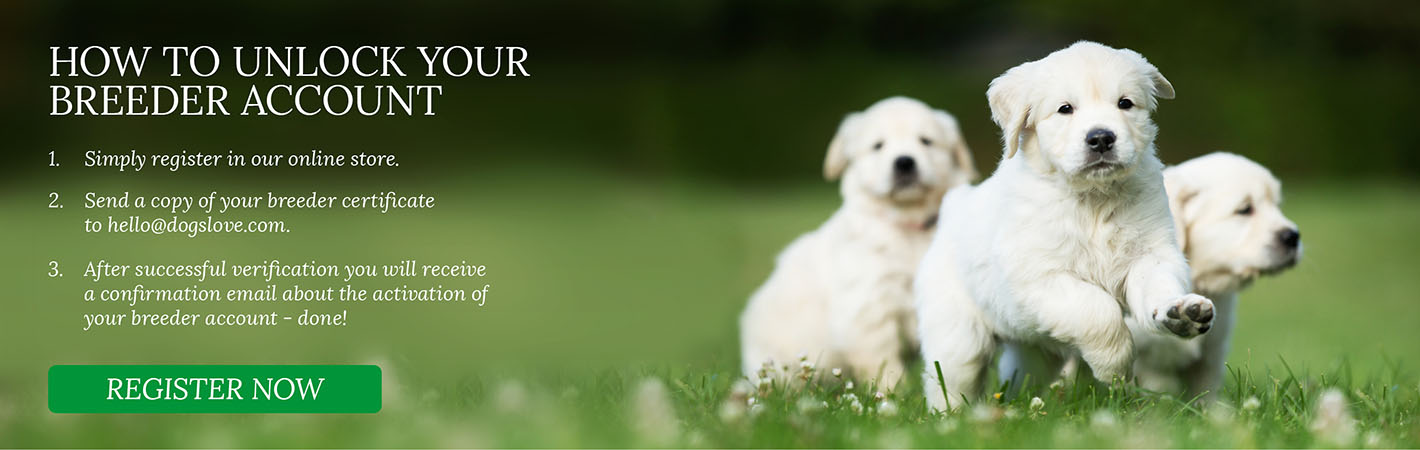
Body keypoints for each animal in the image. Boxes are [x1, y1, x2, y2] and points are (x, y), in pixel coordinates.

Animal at [744, 95, 976, 386]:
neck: (907, 224)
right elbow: (883, 363)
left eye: (926, 141)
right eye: (878, 146)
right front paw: (892, 392)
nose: (904, 162)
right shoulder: (868, 308)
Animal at [914, 42, 1215, 408]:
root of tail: (953, 209)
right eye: (1065, 109)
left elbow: (1156, 284)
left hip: (1034, 349)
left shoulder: (1151, 252)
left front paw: (1180, 314)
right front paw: (1114, 367)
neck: (1093, 200)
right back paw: (953, 414)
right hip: (958, 333)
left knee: (1021, 376)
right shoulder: (1038, 278)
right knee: (954, 379)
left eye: (1125, 103)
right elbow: (1097, 310)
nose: (1101, 138)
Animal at [1005, 152, 1300, 400]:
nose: (1293, 237)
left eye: (1277, 205)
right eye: (1245, 209)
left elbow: (1206, 393)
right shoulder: (1148, 363)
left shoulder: (1211, 355)